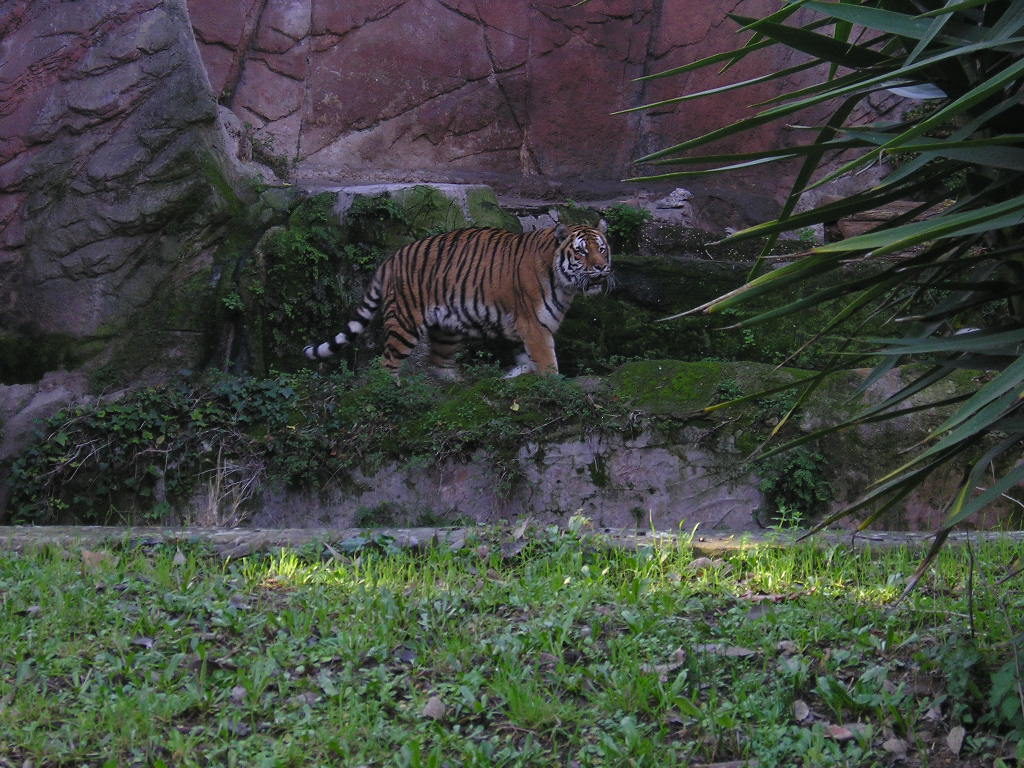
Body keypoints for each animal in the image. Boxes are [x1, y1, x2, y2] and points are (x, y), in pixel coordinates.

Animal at [299, 222, 610, 378]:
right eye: (581, 252)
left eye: (602, 249)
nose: (601, 267)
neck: (564, 284)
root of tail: (392, 258)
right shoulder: (534, 326)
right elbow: (546, 363)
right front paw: (554, 386)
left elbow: (527, 360)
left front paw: (518, 375)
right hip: (405, 323)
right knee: (387, 366)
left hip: (447, 330)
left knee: (439, 363)